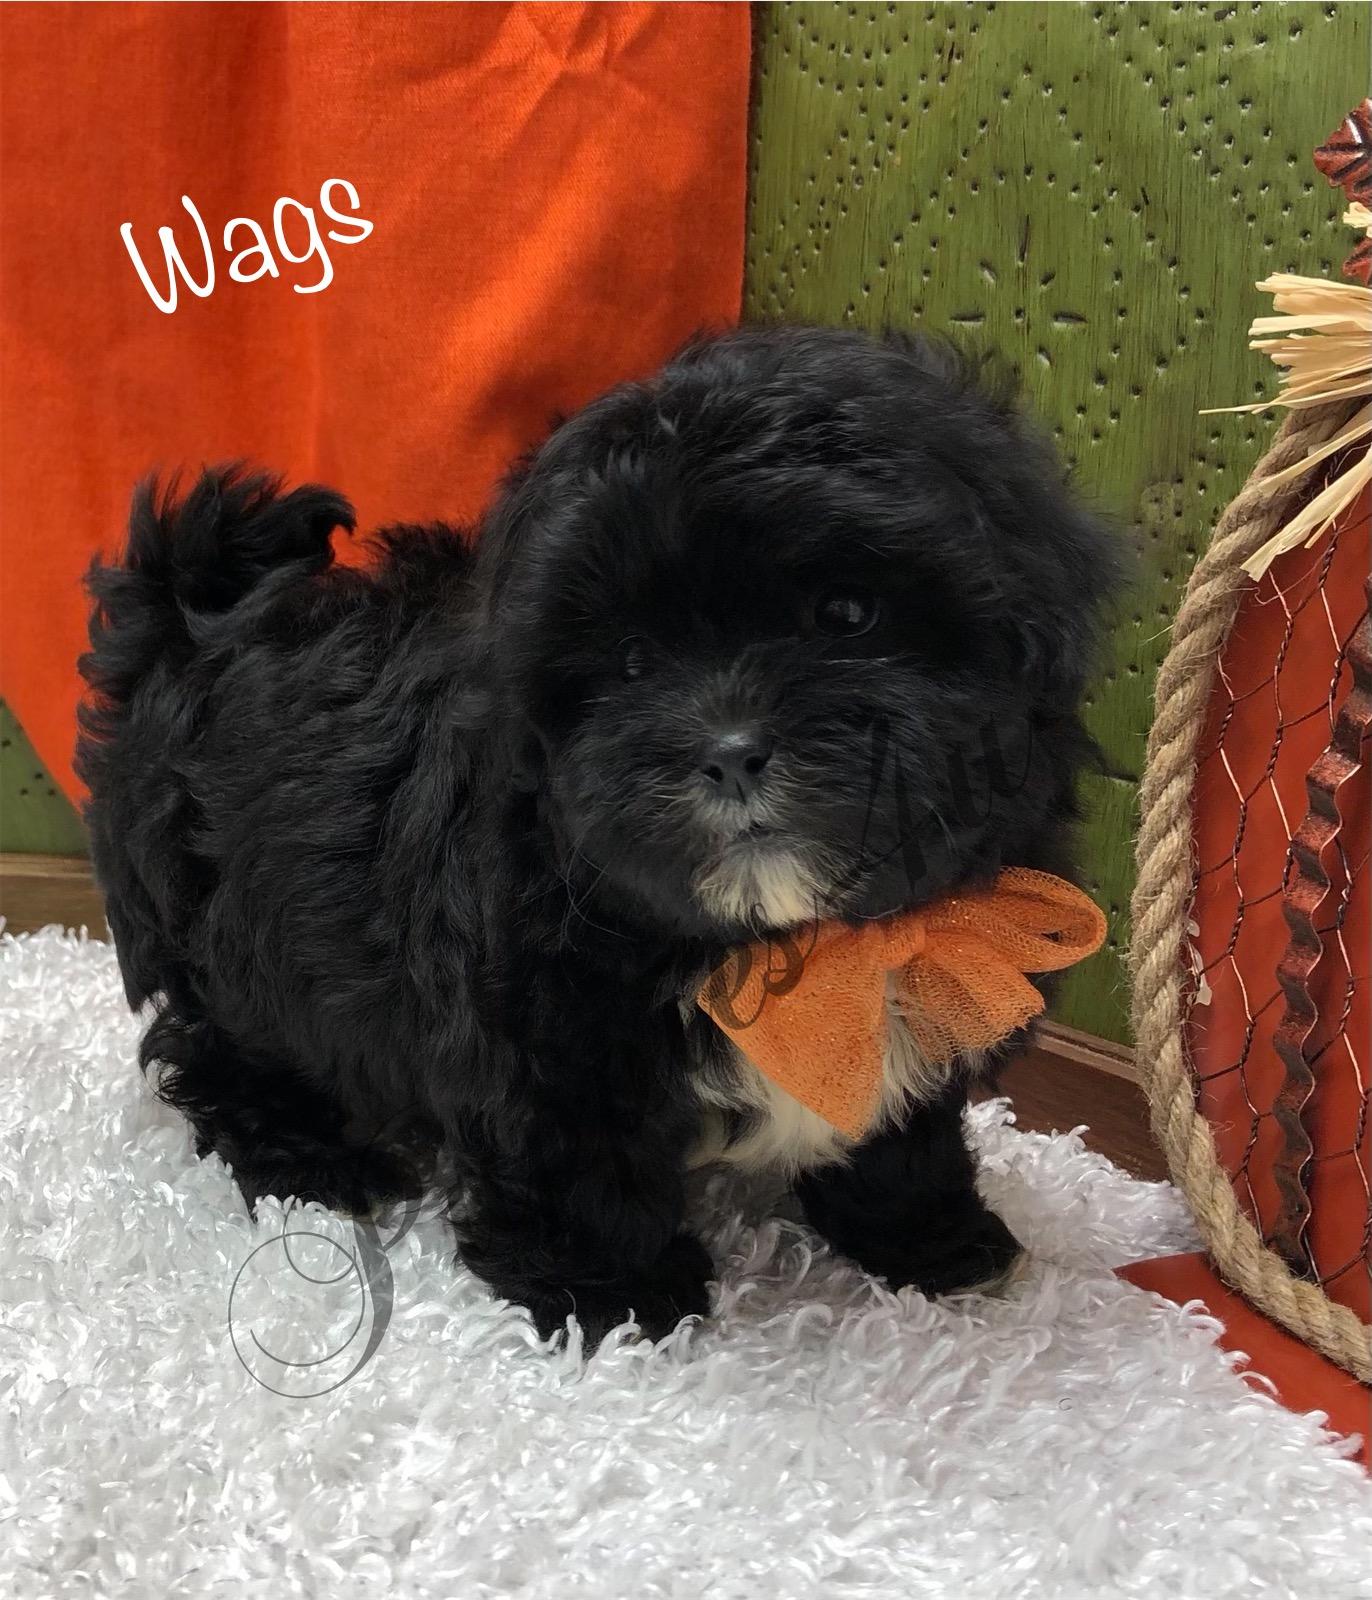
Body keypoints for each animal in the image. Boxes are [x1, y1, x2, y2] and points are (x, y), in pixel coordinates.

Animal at [77, 326, 1118, 1342]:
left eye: (848, 613)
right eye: (629, 664)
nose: (730, 752)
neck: (784, 942)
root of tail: (193, 621)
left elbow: (903, 1132)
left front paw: (931, 1238)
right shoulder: (536, 1025)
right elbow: (575, 1159)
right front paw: (612, 1296)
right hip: (225, 933)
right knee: (219, 1045)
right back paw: (310, 1156)